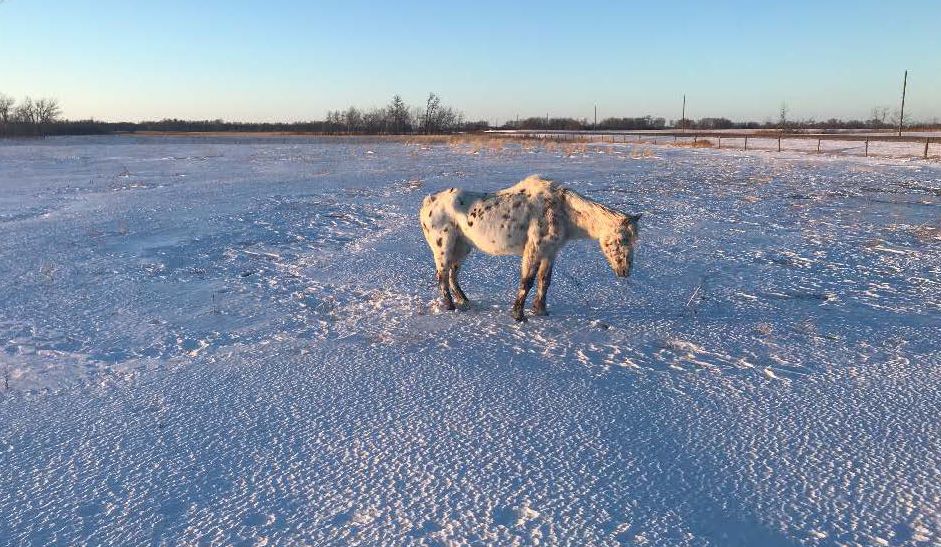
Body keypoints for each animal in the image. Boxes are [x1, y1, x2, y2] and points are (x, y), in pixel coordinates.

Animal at [419, 175, 641, 321]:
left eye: (634, 241)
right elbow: (527, 282)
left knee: (452, 275)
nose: (625, 271)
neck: (561, 210)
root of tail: (428, 202)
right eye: (621, 239)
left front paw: (540, 310)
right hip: (444, 248)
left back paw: (464, 302)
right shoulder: (533, 250)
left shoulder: (550, 252)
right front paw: (519, 315)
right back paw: (450, 306)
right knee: (442, 275)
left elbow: (545, 281)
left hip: (462, 247)